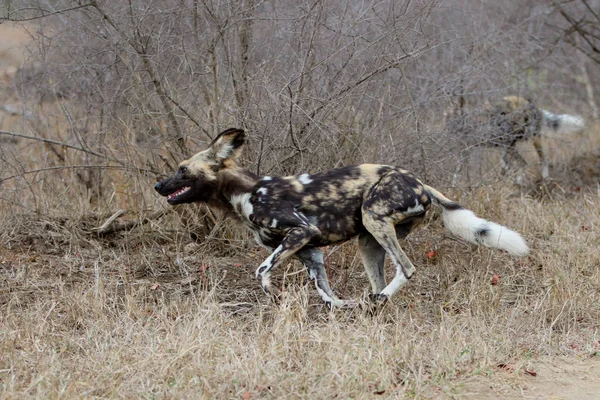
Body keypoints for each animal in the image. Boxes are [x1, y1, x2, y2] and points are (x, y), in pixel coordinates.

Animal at [155, 128, 528, 306]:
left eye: (182, 169)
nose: (158, 185)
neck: (247, 192)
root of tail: (420, 182)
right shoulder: (309, 251)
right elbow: (327, 294)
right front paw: (340, 308)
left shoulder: (300, 232)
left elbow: (261, 271)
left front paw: (274, 296)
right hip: (368, 240)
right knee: (380, 278)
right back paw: (372, 304)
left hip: (374, 218)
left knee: (406, 268)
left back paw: (379, 301)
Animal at [448, 96, 584, 185]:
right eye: (449, 115)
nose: (450, 127)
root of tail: (530, 103)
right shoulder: (465, 149)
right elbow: (457, 172)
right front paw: (453, 186)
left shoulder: (468, 148)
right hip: (505, 145)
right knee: (509, 165)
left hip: (524, 139)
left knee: (535, 160)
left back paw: (536, 181)